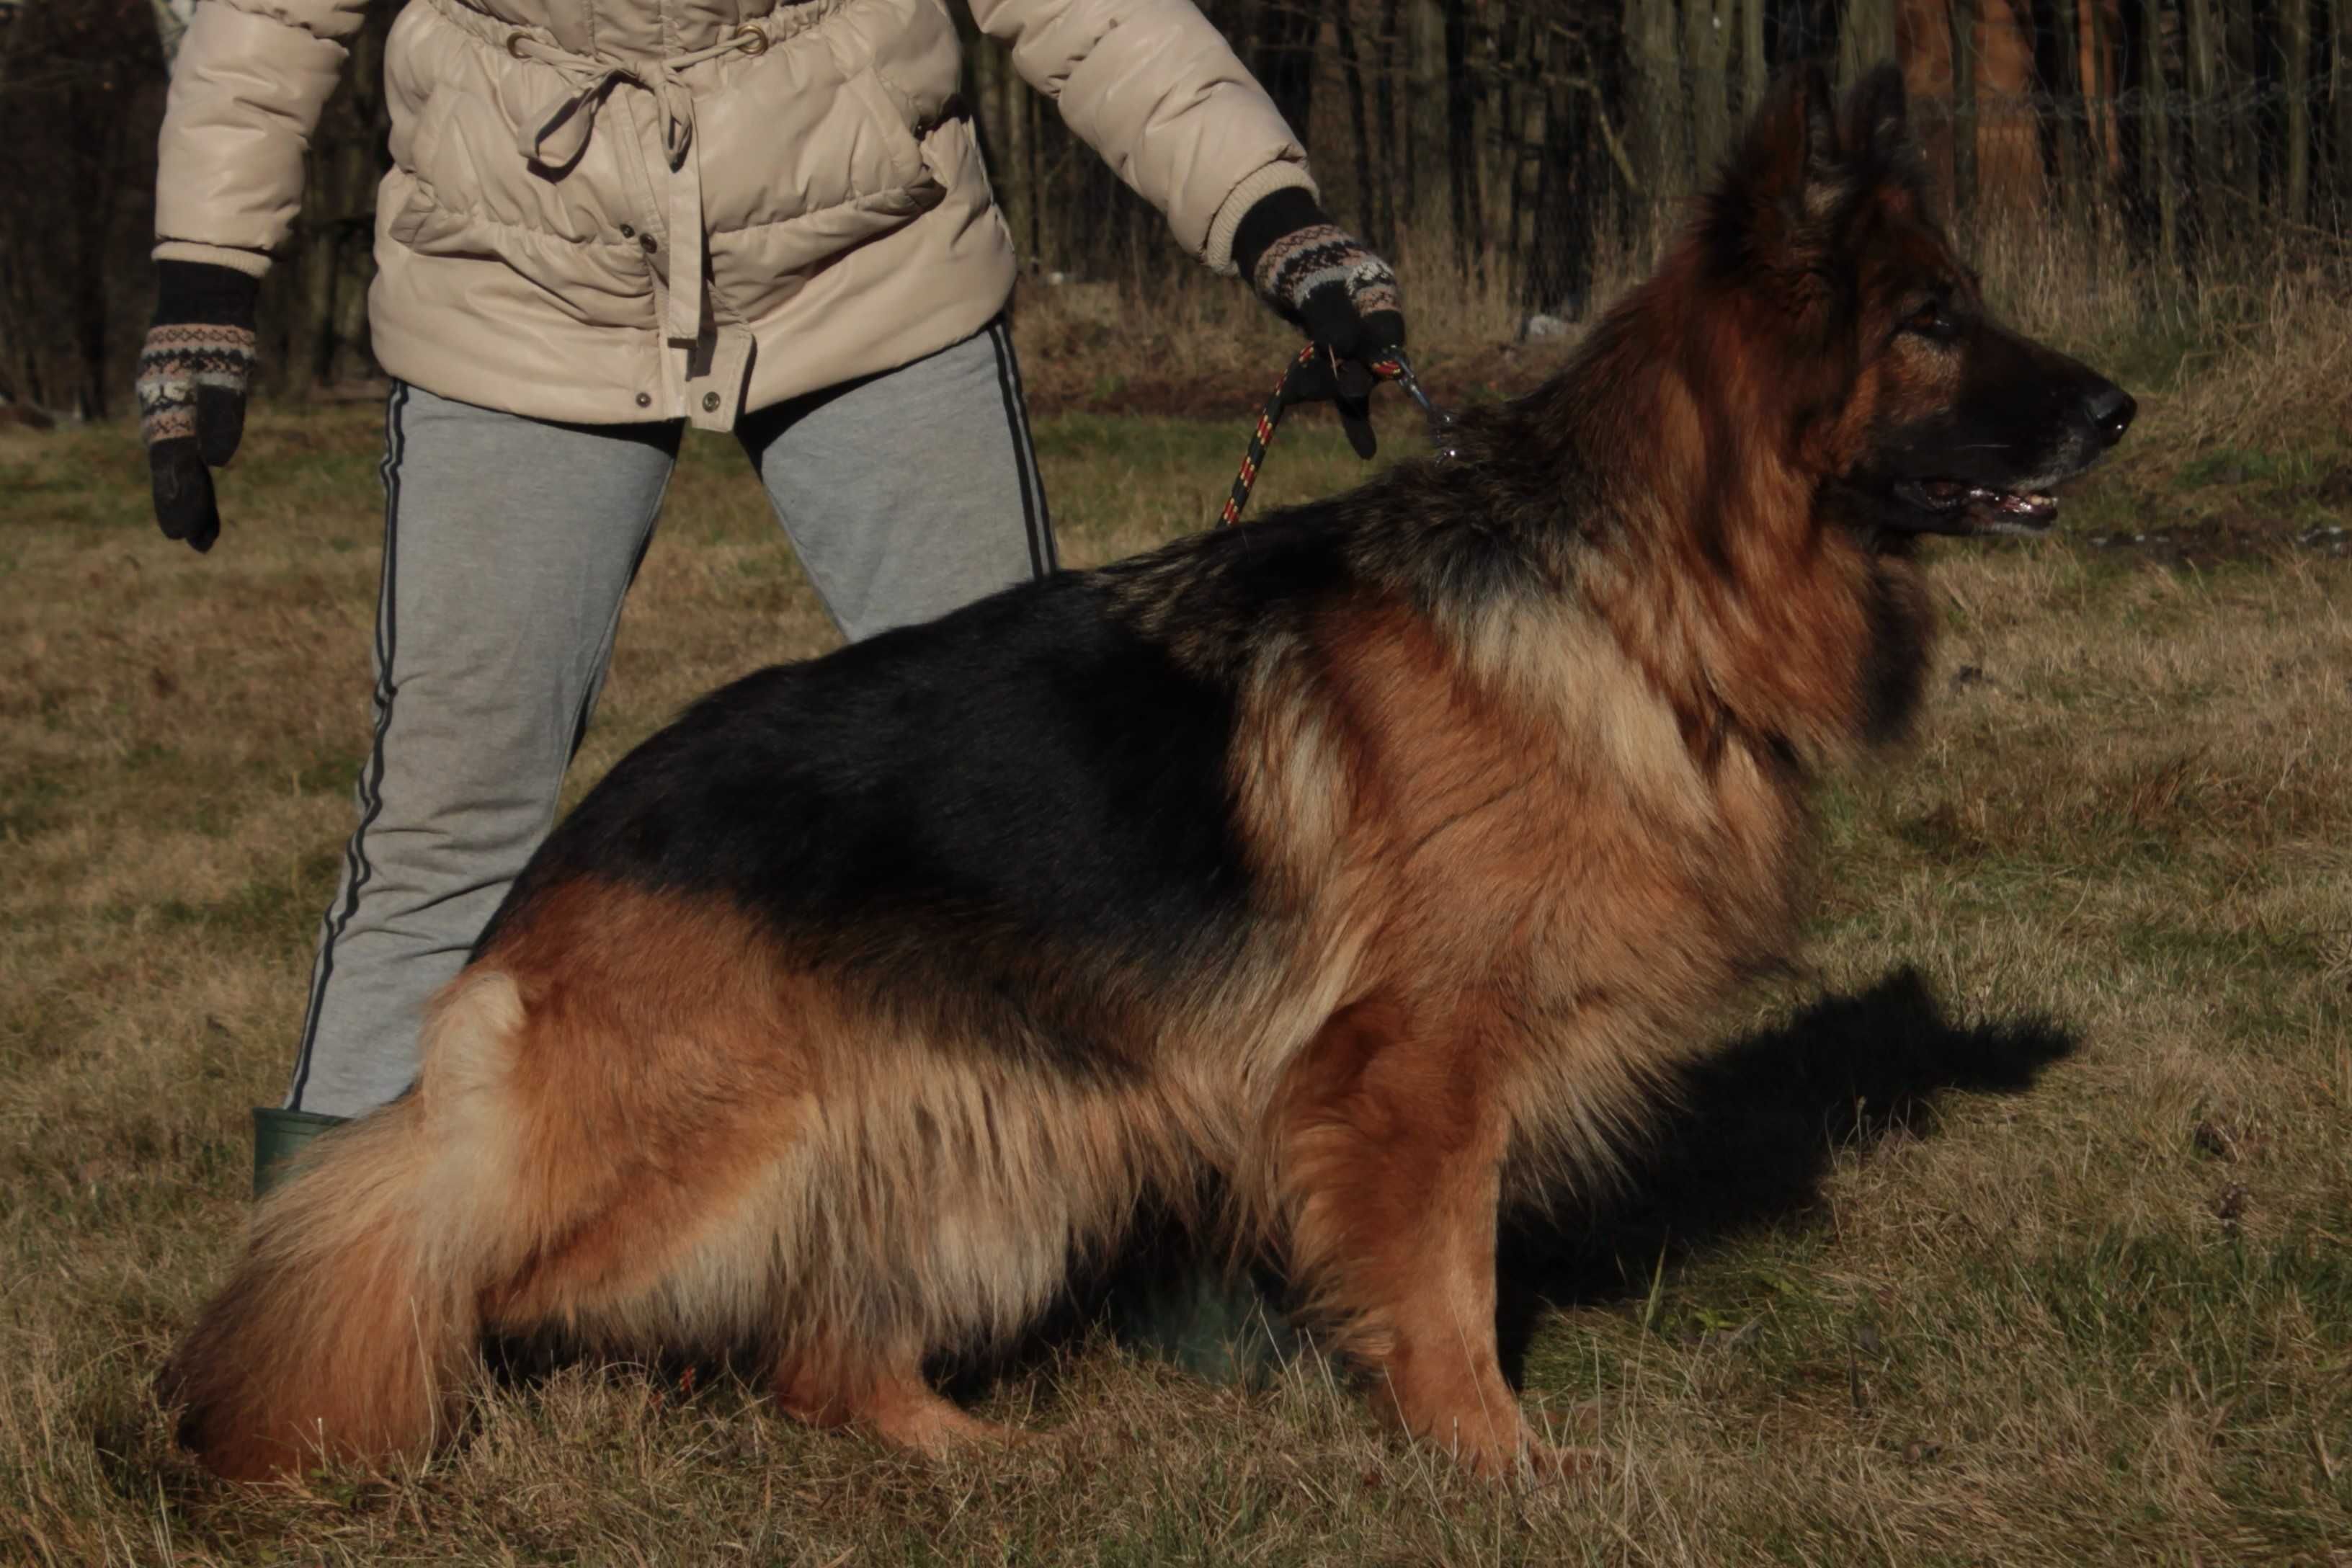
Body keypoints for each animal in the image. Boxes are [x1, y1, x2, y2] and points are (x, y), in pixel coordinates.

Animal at [161, 64, 2135, 1485]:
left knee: (816, 1341)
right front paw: (1495, 1459)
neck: (1630, 586)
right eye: (1931, 320)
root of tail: (567, 856)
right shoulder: (1413, 1069)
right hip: (725, 1151)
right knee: (449, 1252)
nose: (2119, 409)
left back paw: (963, 1450)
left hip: (989, 1135)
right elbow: (1449, 1280)